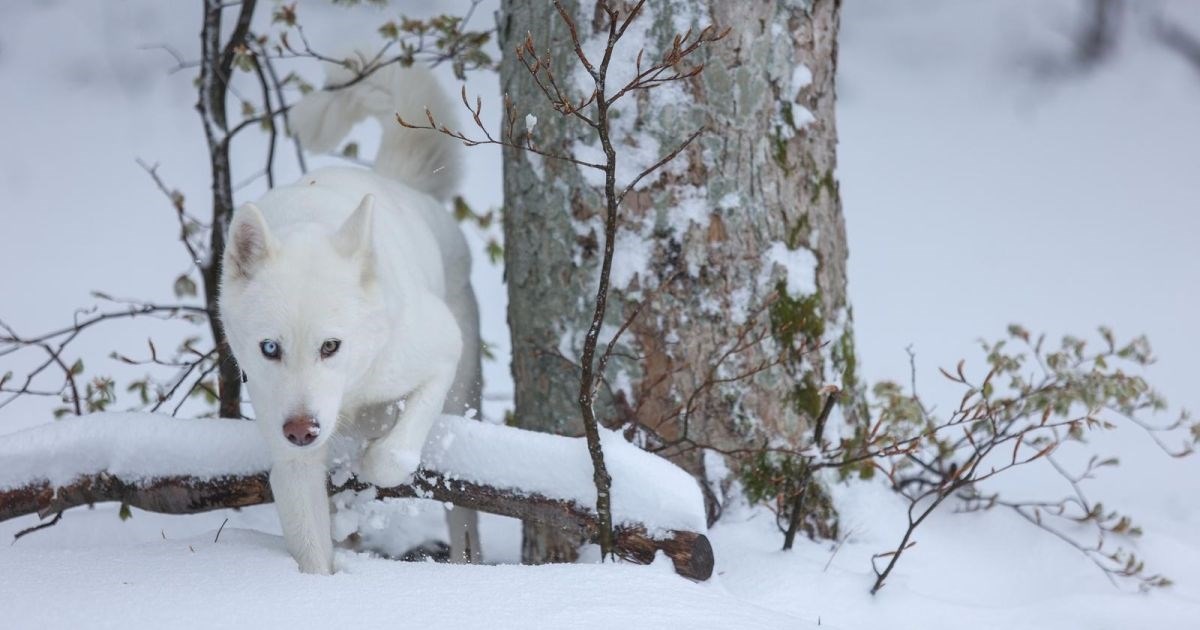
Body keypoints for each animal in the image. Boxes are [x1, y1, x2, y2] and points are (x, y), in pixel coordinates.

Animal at [218, 61, 480, 571]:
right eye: (270, 348)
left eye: (330, 346)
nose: (302, 430)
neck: (351, 392)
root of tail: (402, 184)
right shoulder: (291, 459)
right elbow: (312, 550)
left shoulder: (438, 350)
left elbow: (392, 457)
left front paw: (371, 464)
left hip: (463, 387)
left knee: (462, 517)